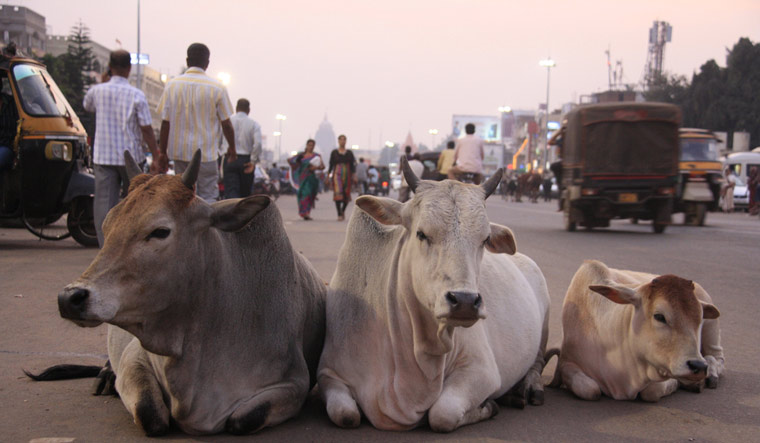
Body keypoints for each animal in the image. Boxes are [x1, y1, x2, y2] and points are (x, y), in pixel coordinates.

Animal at [54, 150, 327, 435]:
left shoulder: (293, 383)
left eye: (160, 231)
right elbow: (150, 415)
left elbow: (241, 420)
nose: (70, 298)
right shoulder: (136, 357)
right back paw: (106, 376)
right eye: (106, 227)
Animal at [317, 158, 550, 432]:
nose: (465, 301)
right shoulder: (329, 373)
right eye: (421, 234)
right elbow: (345, 414)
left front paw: (488, 406)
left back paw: (528, 388)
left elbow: (442, 414)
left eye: (485, 239)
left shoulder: (482, 370)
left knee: (537, 362)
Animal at [549, 260, 724, 402]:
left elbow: (651, 392)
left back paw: (710, 375)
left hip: (712, 331)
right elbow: (590, 390)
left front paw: (678, 383)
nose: (698, 366)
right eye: (659, 316)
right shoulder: (568, 363)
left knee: (716, 357)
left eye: (699, 318)